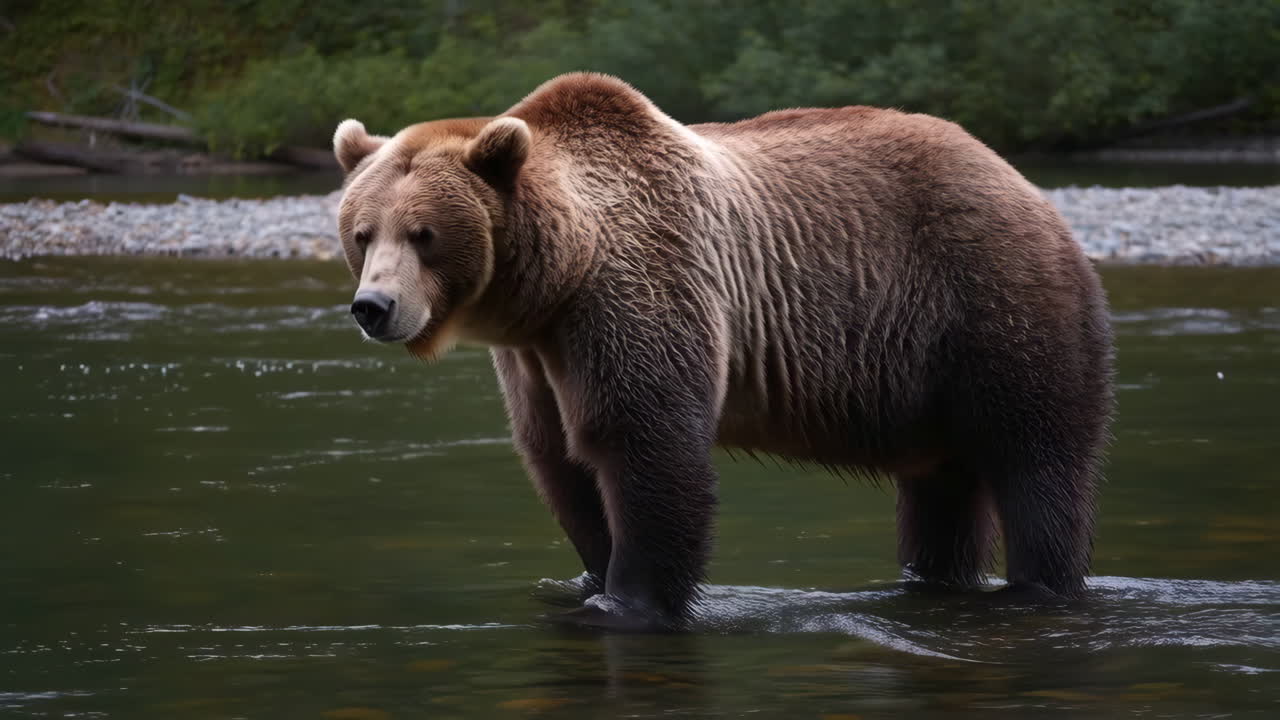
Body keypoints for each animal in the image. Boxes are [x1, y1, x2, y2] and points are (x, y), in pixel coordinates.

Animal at [331, 72, 1113, 632]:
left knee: (1037, 463)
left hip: (996, 306)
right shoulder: (535, 361)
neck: (555, 280)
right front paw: (593, 575)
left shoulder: (635, 295)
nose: (375, 307)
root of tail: (1024, 184)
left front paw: (632, 601)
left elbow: (645, 443)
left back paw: (1041, 585)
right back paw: (934, 578)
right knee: (943, 488)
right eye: (363, 232)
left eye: (425, 233)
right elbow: (560, 460)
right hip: (931, 377)